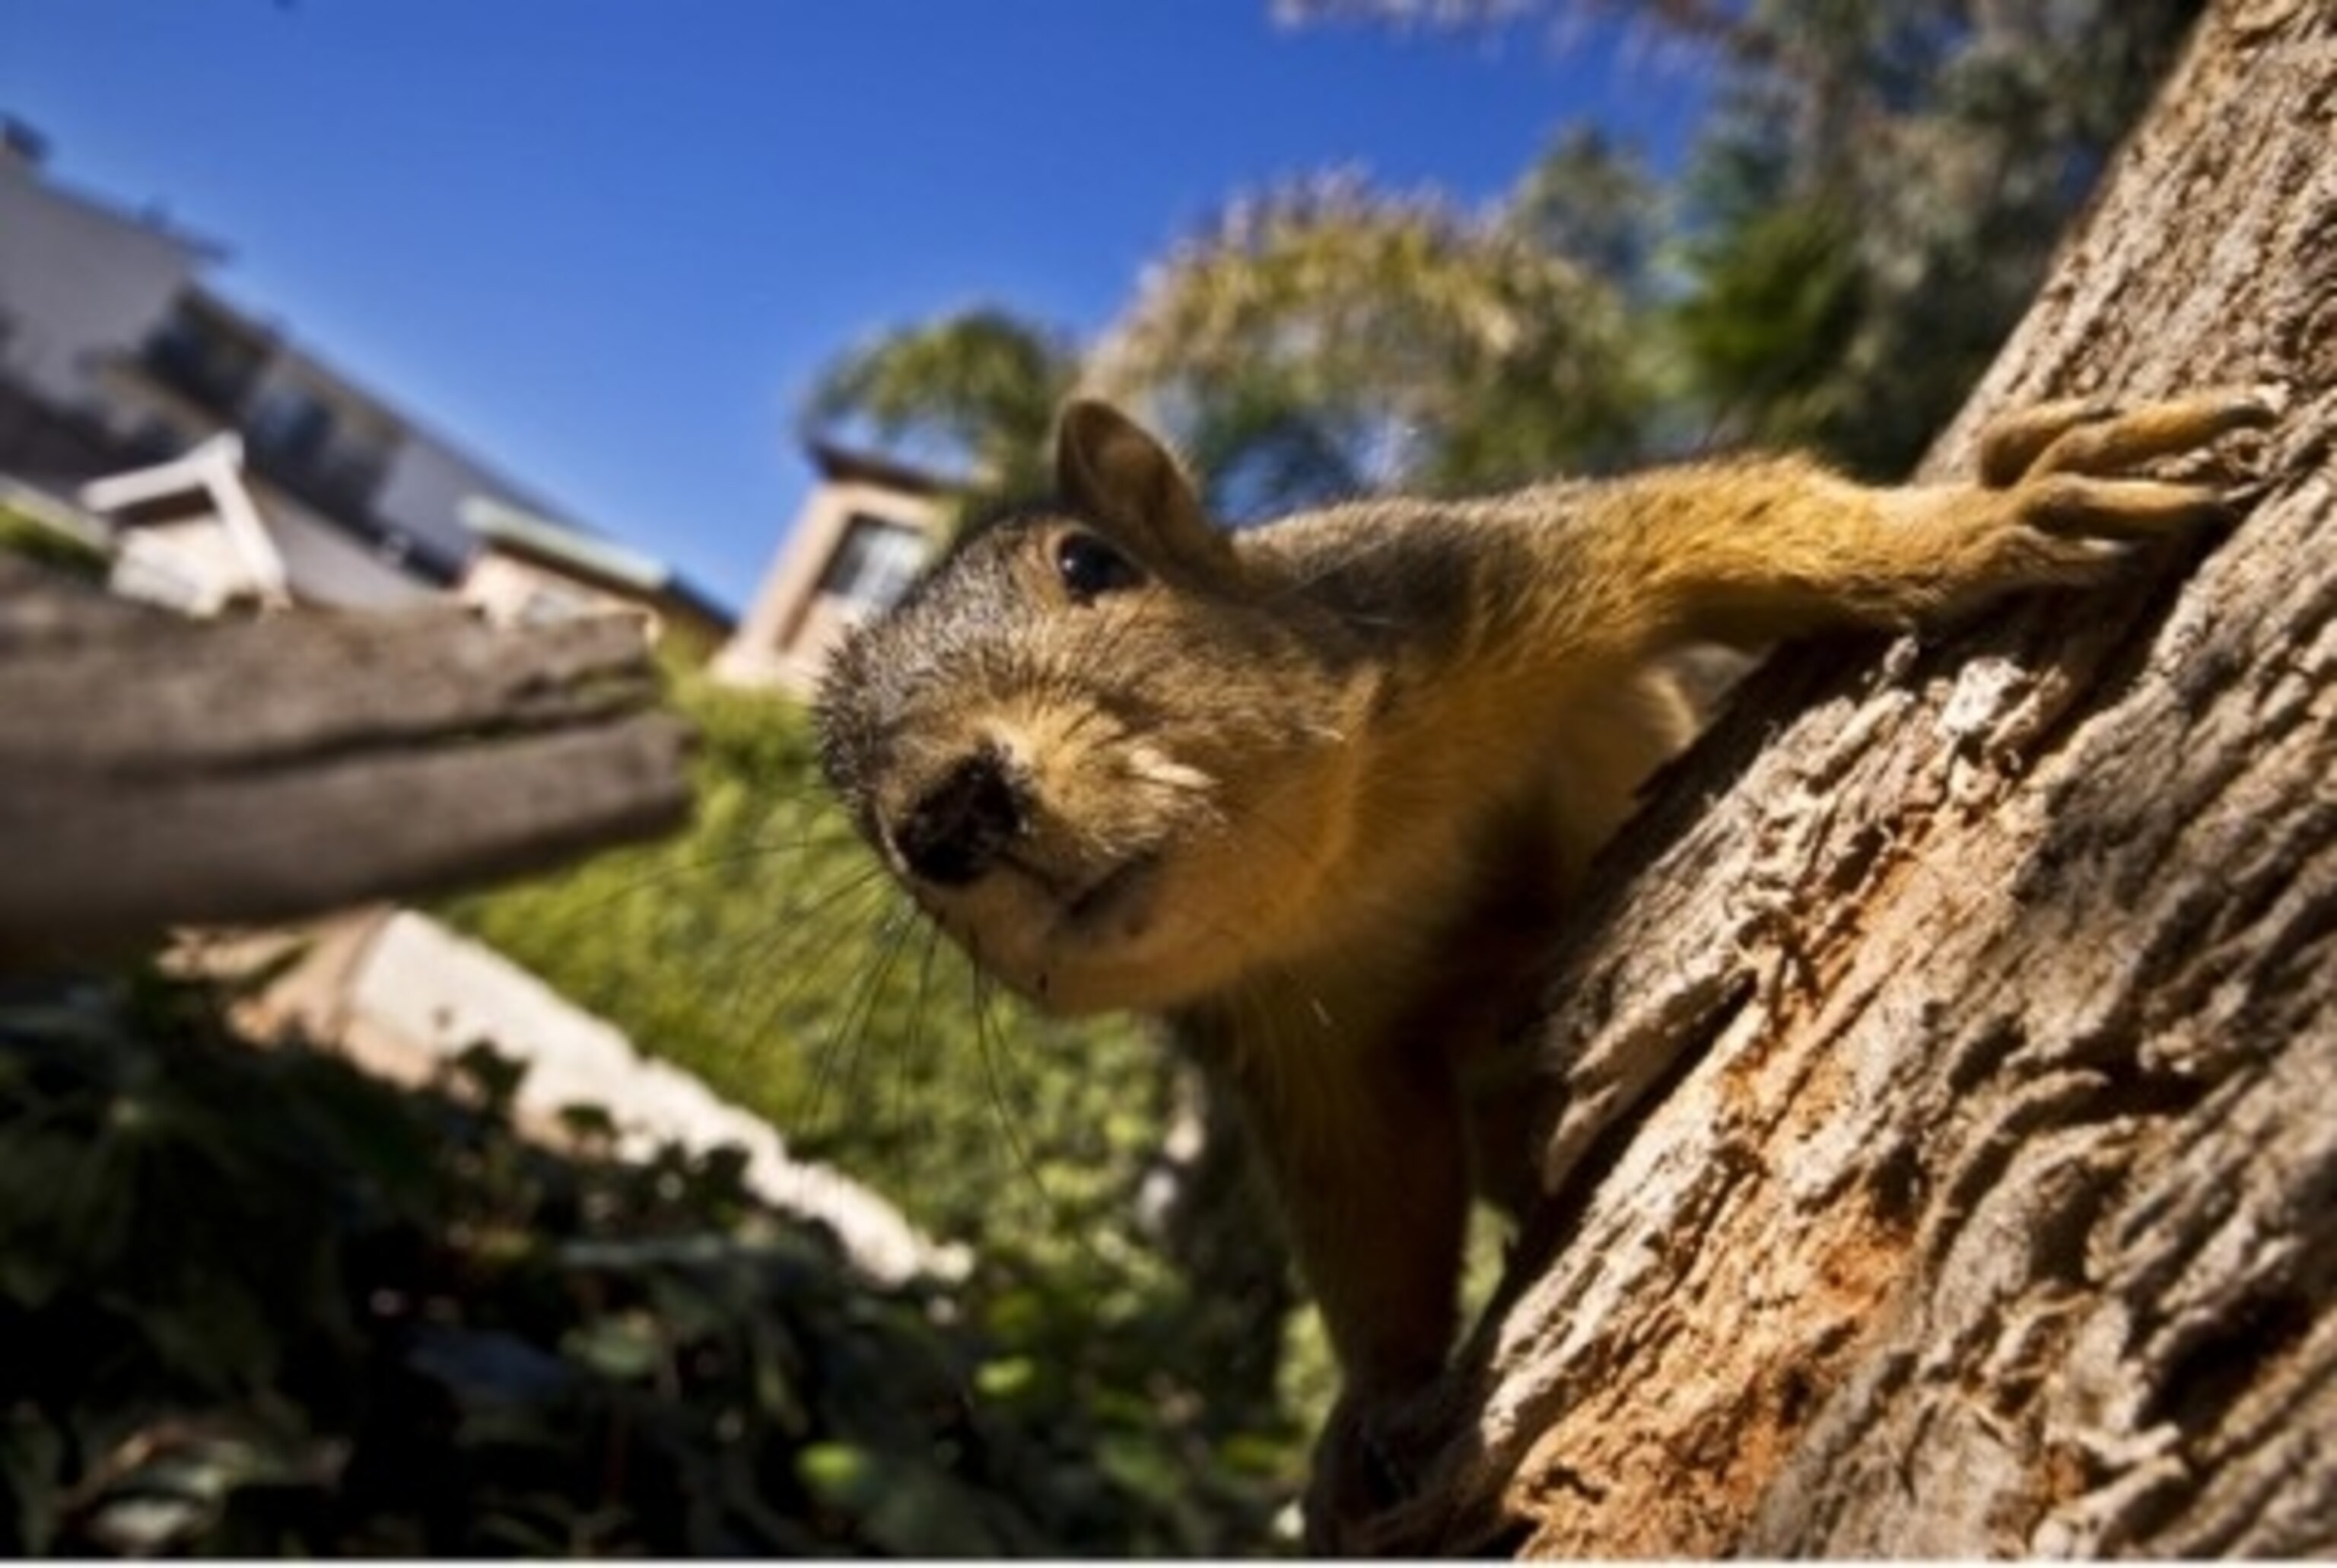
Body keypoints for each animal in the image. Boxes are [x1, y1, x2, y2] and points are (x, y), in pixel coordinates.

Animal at [813, 389, 2272, 1549]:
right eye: (849, 803)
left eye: (1090, 563)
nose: (943, 815)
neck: (1346, 862)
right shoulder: (1294, 1041)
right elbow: (1371, 1201)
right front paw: (1379, 1397)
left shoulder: (1461, 581)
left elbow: (1720, 526)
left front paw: (1979, 519)